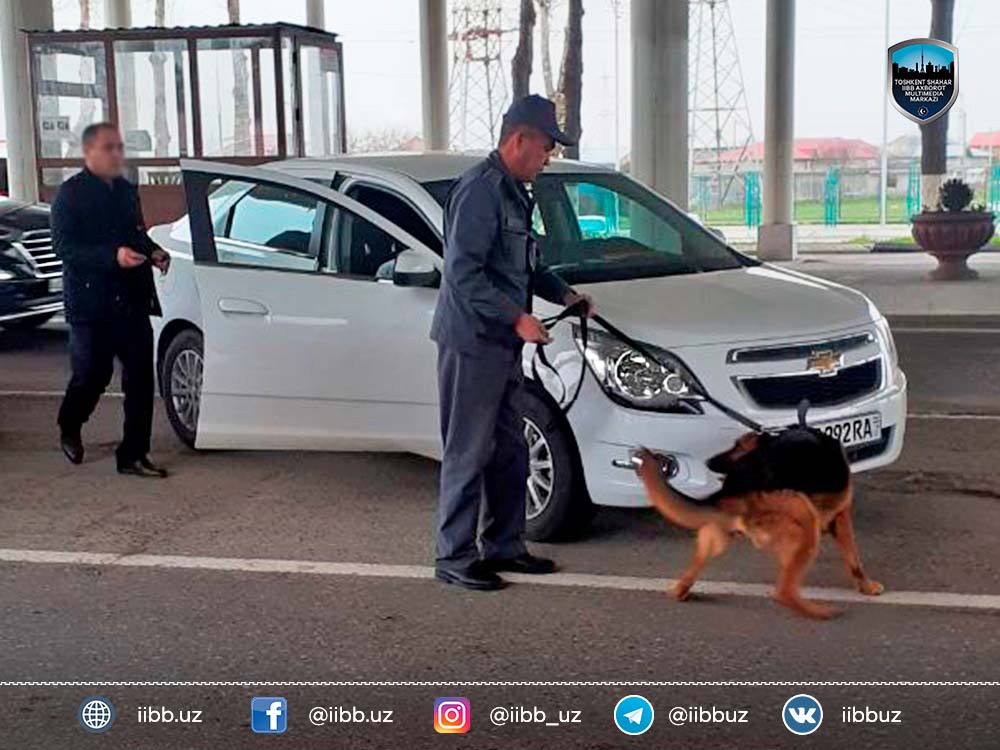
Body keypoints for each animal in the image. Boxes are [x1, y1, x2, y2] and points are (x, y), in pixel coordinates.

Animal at [640, 428, 884, 624]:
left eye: (737, 445)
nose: (709, 462)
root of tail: (737, 483)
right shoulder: (842, 518)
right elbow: (854, 560)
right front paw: (867, 586)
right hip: (806, 520)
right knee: (783, 591)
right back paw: (820, 612)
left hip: (720, 532)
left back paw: (680, 590)